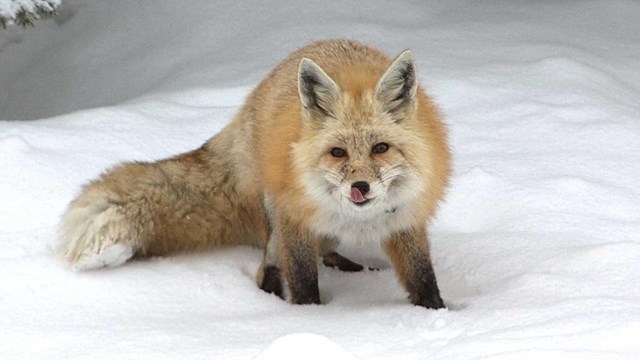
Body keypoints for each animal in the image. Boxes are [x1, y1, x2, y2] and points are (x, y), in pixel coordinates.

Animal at [58, 40, 450, 310]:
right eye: (338, 152)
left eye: (380, 148)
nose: (360, 187)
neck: (360, 218)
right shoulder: (295, 222)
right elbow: (303, 281)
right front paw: (313, 320)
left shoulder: (406, 221)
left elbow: (423, 278)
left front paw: (436, 314)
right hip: (275, 222)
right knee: (268, 269)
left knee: (326, 249)